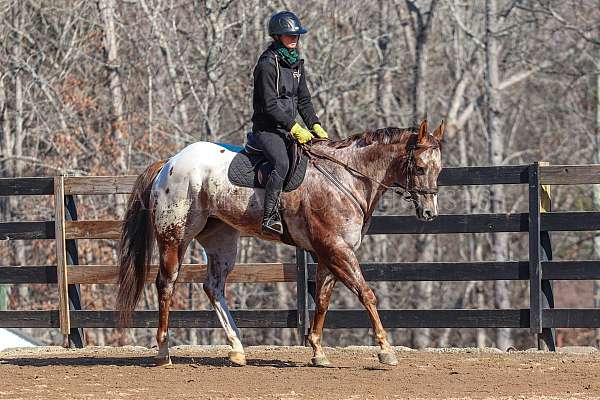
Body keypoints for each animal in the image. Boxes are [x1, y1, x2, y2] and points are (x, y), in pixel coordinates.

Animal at [118, 120, 446, 368]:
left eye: (438, 169)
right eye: (419, 168)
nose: (429, 213)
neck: (345, 177)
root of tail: (170, 162)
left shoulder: (329, 252)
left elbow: (323, 299)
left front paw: (317, 351)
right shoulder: (336, 249)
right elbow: (366, 294)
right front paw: (385, 350)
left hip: (221, 239)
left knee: (213, 287)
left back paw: (237, 349)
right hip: (175, 236)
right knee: (166, 284)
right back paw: (164, 352)